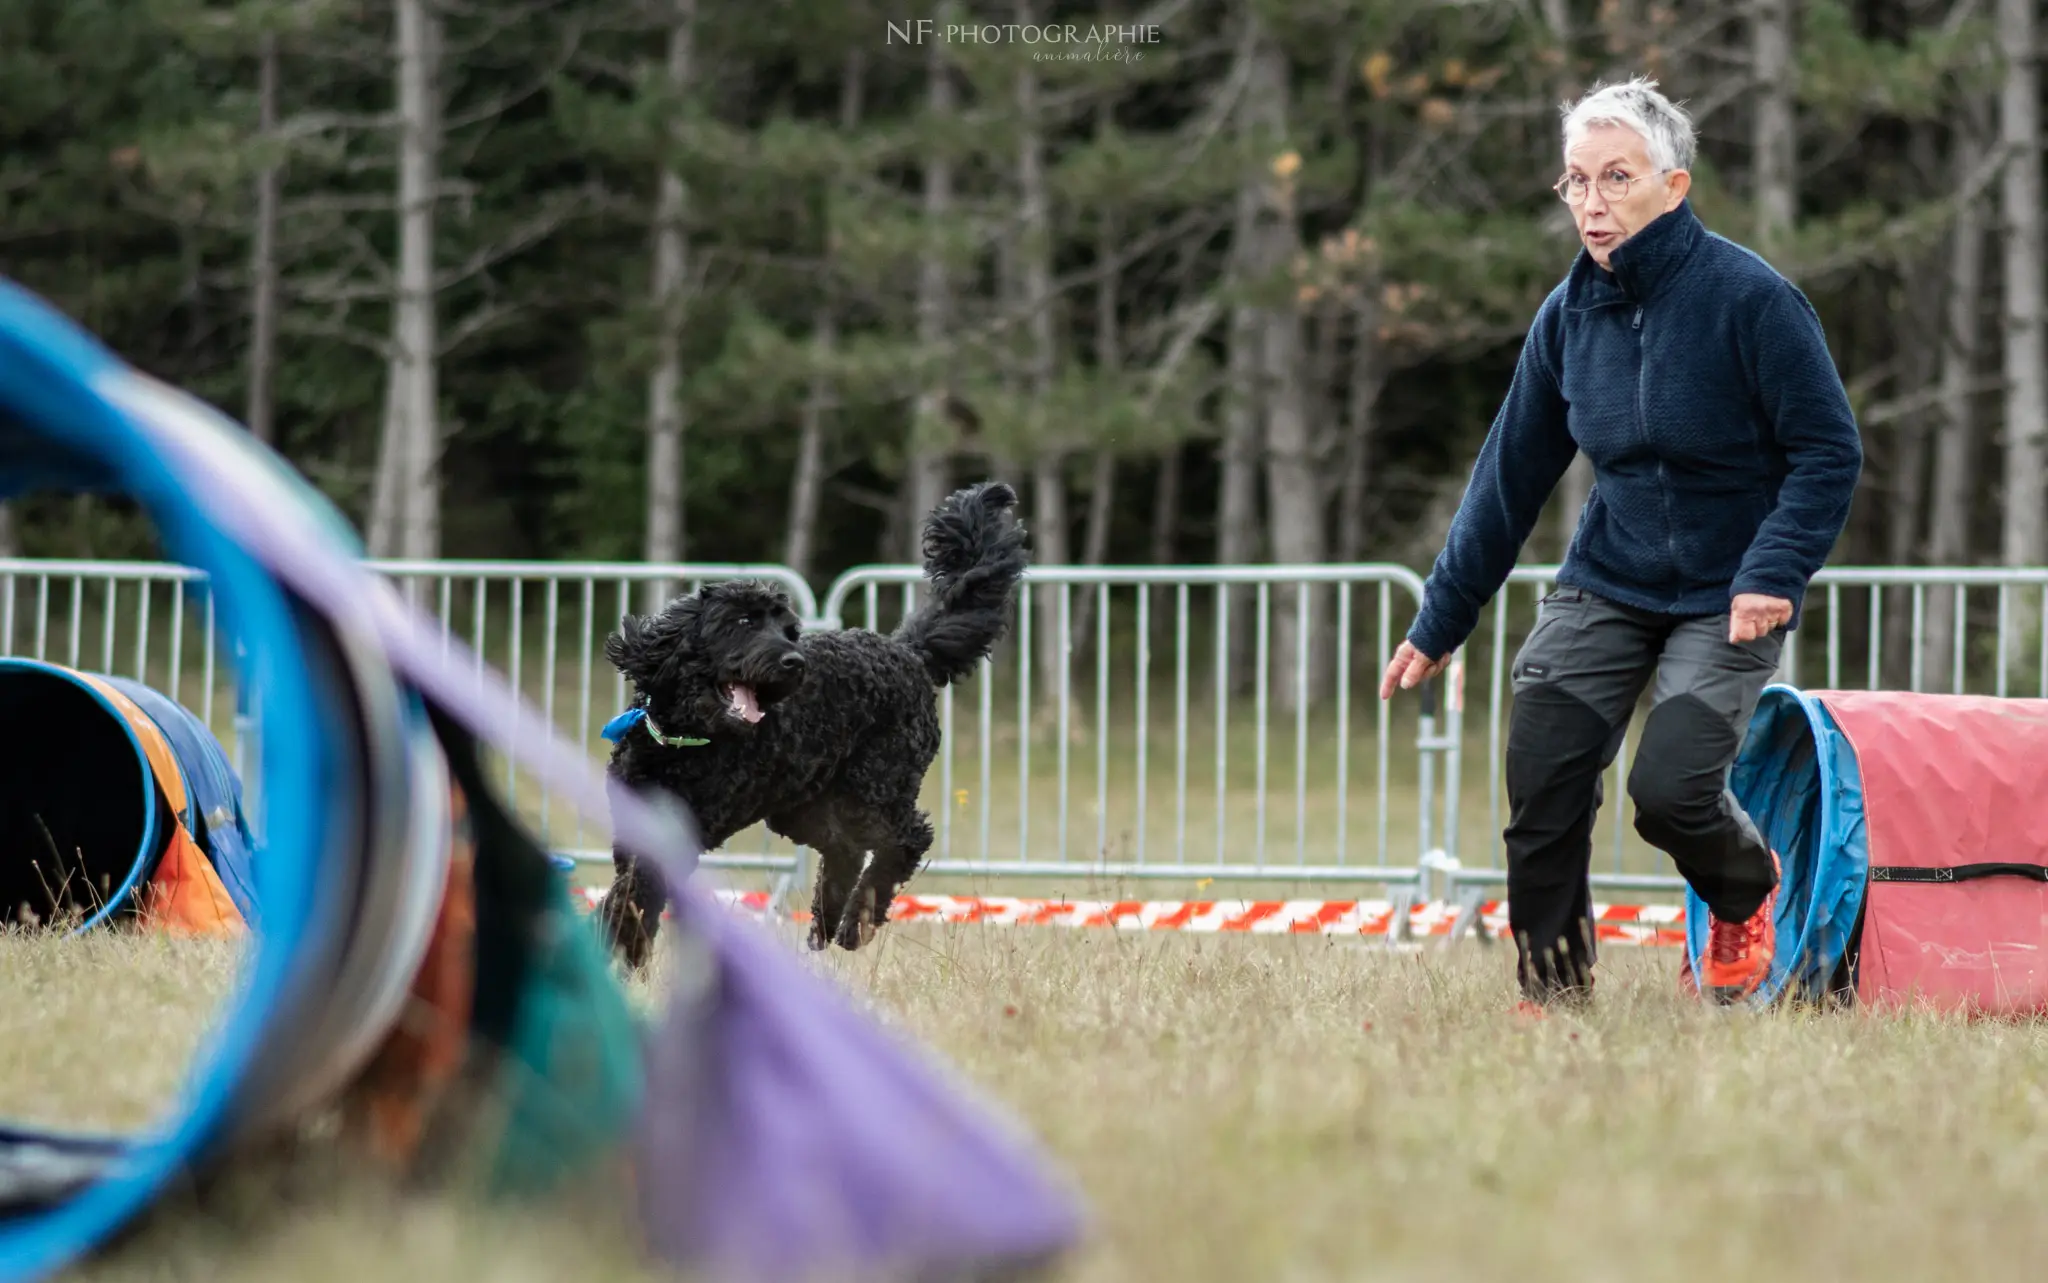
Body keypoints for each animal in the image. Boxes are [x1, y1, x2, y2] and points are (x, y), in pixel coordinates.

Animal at [598, 479, 1032, 959]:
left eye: (789, 631)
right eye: (743, 621)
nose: (794, 662)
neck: (682, 741)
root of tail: (908, 652)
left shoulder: (674, 835)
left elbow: (634, 897)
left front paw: (614, 952)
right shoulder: (634, 832)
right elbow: (629, 896)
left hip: (875, 789)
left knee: (907, 839)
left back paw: (856, 922)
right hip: (808, 806)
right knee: (846, 852)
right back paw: (824, 926)